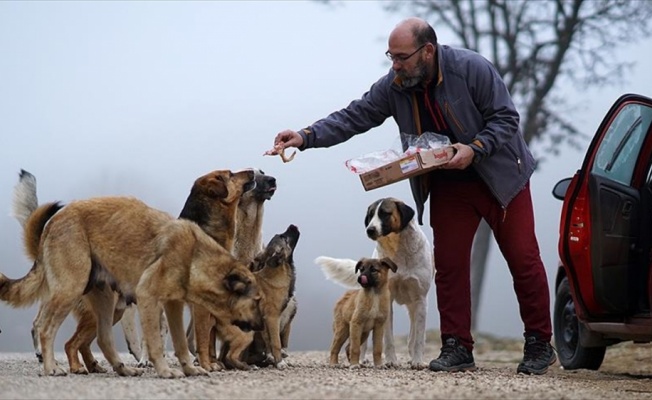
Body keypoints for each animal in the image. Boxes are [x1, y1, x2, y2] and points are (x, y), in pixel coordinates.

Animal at [2, 169, 264, 378]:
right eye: (230, 174)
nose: (255, 172)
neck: (193, 252)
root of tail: (53, 222)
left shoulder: (173, 306)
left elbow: (180, 343)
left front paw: (190, 368)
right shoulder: (151, 299)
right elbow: (159, 343)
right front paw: (167, 371)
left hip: (107, 302)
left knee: (101, 338)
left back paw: (120, 368)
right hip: (70, 290)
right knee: (45, 329)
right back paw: (52, 367)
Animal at [314, 197, 432, 368]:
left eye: (385, 213)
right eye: (370, 215)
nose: (369, 230)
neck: (398, 249)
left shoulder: (420, 299)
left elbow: (419, 338)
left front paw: (417, 360)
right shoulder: (386, 301)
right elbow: (387, 339)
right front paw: (391, 360)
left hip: (413, 306)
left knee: (413, 332)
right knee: (360, 342)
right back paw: (361, 359)